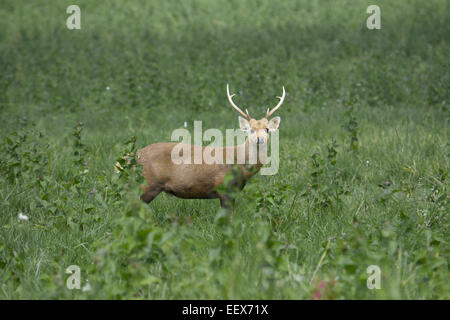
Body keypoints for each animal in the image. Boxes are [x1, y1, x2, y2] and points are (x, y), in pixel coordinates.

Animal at [135, 84, 286, 208]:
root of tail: (136, 155)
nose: (260, 139)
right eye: (251, 129)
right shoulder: (224, 188)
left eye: (267, 129)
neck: (239, 164)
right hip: (148, 184)